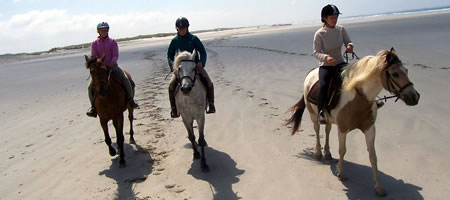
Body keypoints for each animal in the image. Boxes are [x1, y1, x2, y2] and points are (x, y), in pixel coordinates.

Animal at [286, 48, 420, 197]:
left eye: (406, 71)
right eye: (395, 74)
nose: (415, 97)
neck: (359, 97)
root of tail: (311, 72)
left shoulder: (370, 128)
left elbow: (373, 156)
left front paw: (379, 187)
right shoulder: (343, 129)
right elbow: (342, 150)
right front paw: (341, 174)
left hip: (328, 119)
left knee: (327, 130)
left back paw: (327, 153)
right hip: (313, 114)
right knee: (317, 130)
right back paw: (319, 153)